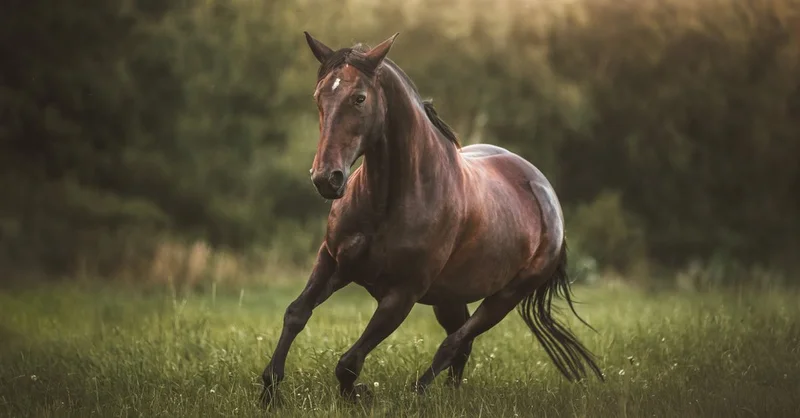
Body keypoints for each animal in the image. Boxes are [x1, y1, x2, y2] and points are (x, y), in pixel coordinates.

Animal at [259, 32, 604, 406]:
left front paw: (359, 394)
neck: (388, 200)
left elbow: (349, 363)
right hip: (449, 298)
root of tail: (545, 193)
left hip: (505, 297)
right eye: (319, 96)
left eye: (359, 98)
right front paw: (270, 389)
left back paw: (419, 393)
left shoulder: (402, 294)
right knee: (460, 346)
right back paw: (451, 395)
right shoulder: (333, 261)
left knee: (455, 343)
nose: (326, 178)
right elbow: (296, 314)